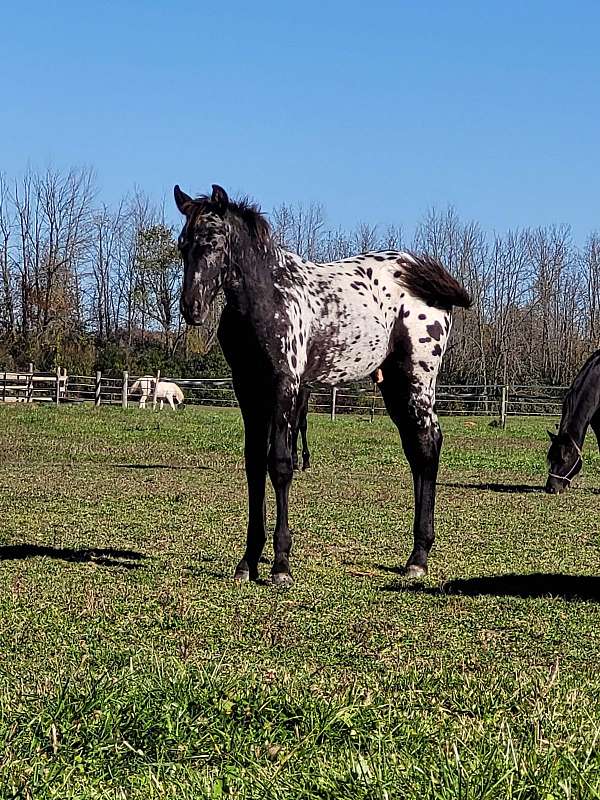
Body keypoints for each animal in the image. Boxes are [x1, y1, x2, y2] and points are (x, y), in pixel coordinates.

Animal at [176, 186, 472, 588]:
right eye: (182, 245)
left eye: (215, 240)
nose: (191, 308)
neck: (269, 296)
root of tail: (425, 277)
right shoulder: (248, 391)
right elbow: (254, 466)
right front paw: (248, 562)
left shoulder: (285, 386)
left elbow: (279, 465)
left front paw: (280, 565)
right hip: (393, 387)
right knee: (416, 451)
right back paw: (415, 554)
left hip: (418, 380)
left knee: (429, 446)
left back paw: (418, 559)